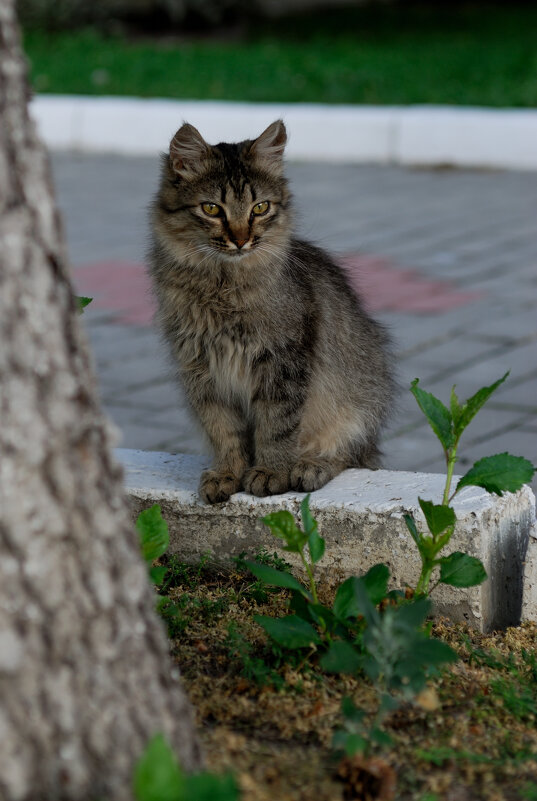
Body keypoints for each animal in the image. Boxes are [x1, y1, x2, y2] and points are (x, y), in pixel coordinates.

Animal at [149, 119, 392, 504]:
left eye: (260, 208)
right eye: (212, 209)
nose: (241, 240)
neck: (222, 287)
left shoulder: (282, 362)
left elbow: (276, 427)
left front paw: (270, 472)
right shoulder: (201, 370)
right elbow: (224, 431)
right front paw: (227, 473)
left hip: (358, 406)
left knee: (347, 455)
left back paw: (310, 466)